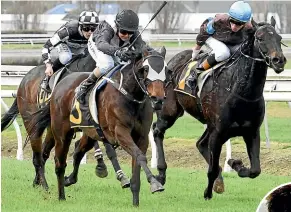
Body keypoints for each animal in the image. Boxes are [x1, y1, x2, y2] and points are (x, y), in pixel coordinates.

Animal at [29, 47, 171, 206]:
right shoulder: (120, 133)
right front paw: (155, 183)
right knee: (59, 163)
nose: (158, 99)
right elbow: (139, 156)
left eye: (167, 70)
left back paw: (69, 179)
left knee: (78, 151)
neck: (130, 96)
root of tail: (59, 85)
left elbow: (137, 163)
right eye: (145, 69)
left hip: (91, 133)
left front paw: (136, 202)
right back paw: (61, 196)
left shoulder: (141, 137)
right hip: (61, 134)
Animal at [153, 17, 288, 200]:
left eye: (279, 38)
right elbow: (211, 169)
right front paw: (208, 193)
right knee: (157, 131)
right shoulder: (218, 132)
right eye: (260, 38)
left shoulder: (251, 131)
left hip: (209, 125)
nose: (279, 60)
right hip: (170, 111)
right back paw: (161, 173)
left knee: (200, 144)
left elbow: (255, 170)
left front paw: (235, 164)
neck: (240, 92)